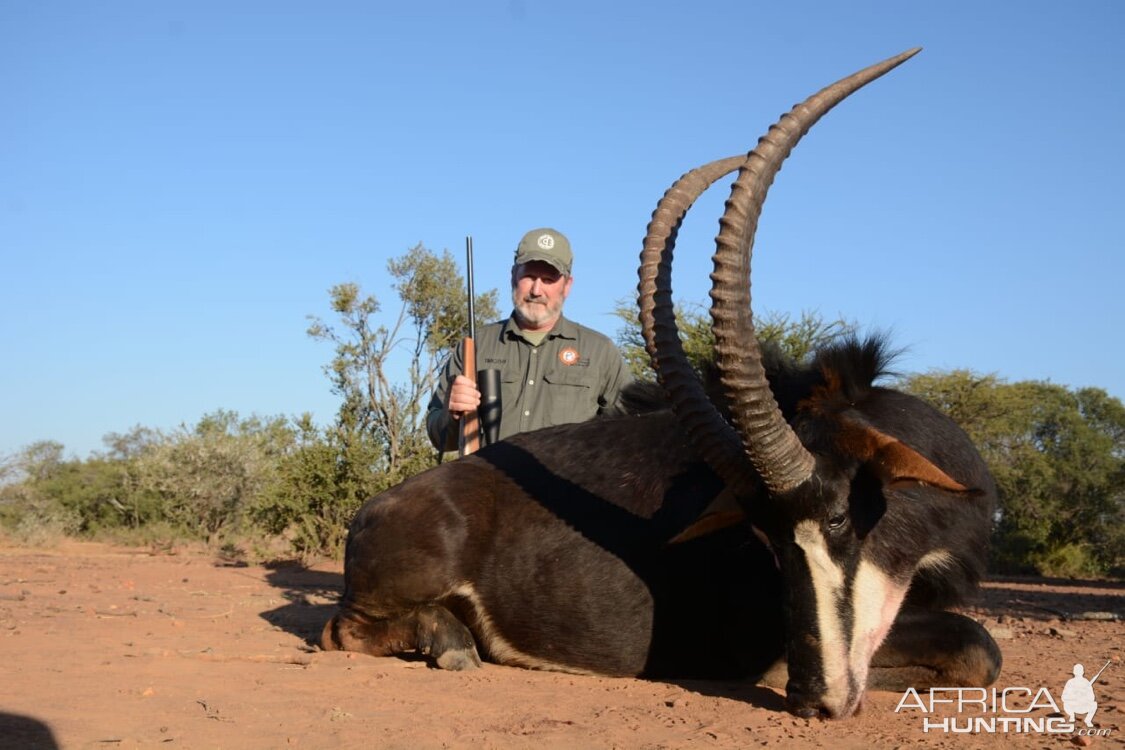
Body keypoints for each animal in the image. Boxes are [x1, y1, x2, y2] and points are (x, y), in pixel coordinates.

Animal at [324, 49, 1003, 719]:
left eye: (838, 518)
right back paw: (450, 640)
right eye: (766, 539)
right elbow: (978, 645)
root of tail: (371, 510)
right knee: (340, 630)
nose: (813, 699)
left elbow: (980, 649)